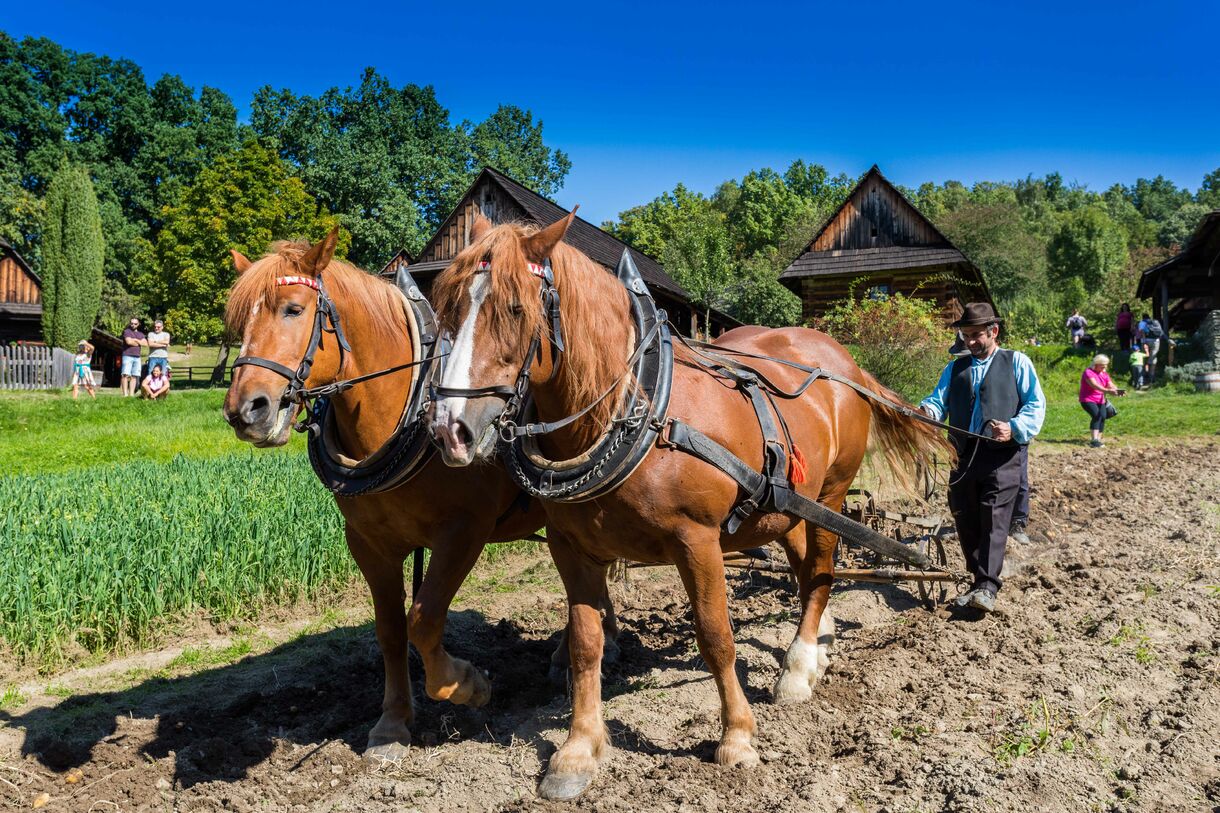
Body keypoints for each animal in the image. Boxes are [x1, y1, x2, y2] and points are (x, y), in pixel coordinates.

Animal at [223, 233, 558, 761]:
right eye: (239, 321)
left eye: (294, 309)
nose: (245, 410)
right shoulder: (368, 543)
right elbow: (391, 630)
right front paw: (393, 723)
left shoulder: (464, 531)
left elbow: (424, 620)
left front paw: (467, 684)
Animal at [429, 214, 951, 795]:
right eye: (447, 307)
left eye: (515, 309)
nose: (450, 430)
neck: (637, 409)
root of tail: (844, 364)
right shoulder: (570, 547)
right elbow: (584, 645)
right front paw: (577, 752)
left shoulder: (697, 540)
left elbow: (716, 635)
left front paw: (737, 737)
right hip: (791, 502)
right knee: (806, 567)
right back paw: (818, 644)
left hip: (833, 493)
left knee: (821, 569)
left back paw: (797, 668)